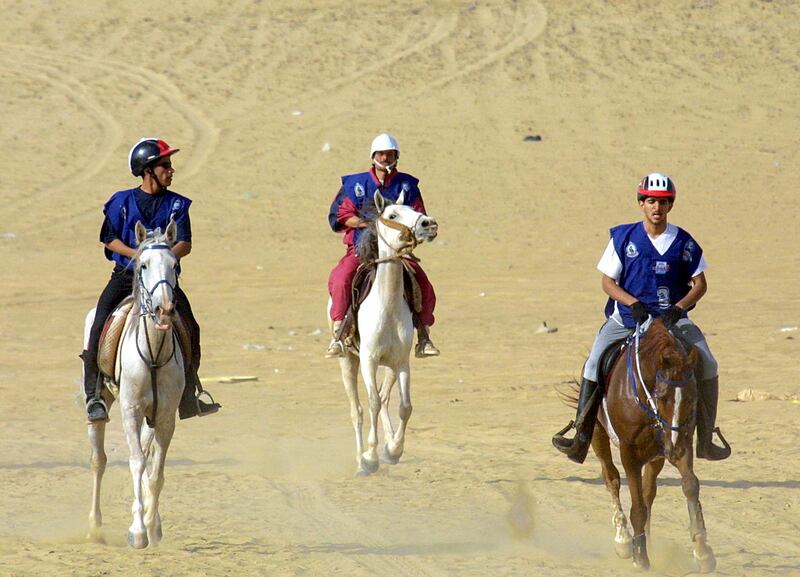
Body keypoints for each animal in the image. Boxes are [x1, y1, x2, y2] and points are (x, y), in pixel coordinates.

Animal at [83, 218, 185, 548]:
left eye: (175, 265)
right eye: (143, 264)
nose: (164, 309)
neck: (154, 352)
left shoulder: (164, 416)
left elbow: (156, 471)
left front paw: (153, 526)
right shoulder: (131, 409)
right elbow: (137, 463)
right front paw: (138, 532)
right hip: (103, 404)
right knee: (98, 460)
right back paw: (94, 528)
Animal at [330, 191, 440, 474]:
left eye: (414, 209)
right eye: (392, 215)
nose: (429, 224)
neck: (386, 305)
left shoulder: (401, 362)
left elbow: (404, 406)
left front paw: (392, 450)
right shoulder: (368, 360)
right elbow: (371, 403)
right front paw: (370, 458)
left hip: (389, 365)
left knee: (384, 396)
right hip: (348, 361)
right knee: (357, 410)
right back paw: (360, 459)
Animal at [592, 320, 720, 572]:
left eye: (692, 397)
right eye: (662, 397)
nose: (674, 450)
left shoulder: (681, 441)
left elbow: (690, 486)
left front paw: (703, 552)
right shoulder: (629, 453)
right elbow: (637, 507)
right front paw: (639, 556)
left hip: (656, 456)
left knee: (648, 491)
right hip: (598, 435)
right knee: (611, 478)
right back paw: (623, 541)